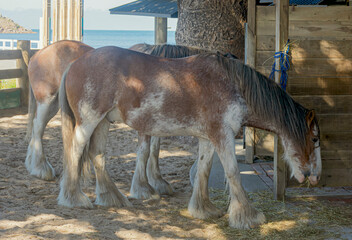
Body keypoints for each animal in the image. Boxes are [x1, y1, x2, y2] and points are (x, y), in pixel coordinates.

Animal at [58, 46, 322, 229]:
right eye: (315, 139)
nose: (315, 177)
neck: (232, 85)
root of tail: (74, 64)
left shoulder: (208, 138)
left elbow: (204, 170)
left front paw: (203, 209)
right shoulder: (222, 135)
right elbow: (233, 173)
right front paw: (248, 217)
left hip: (103, 122)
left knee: (97, 154)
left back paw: (112, 198)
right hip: (89, 121)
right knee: (74, 151)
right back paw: (74, 199)